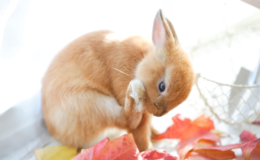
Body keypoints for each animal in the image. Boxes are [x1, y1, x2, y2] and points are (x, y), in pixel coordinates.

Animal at [41, 9, 194, 152]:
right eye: (162, 86)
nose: (158, 114)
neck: (140, 62)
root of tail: (59, 136)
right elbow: (137, 132)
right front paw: (147, 150)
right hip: (90, 104)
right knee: (127, 120)